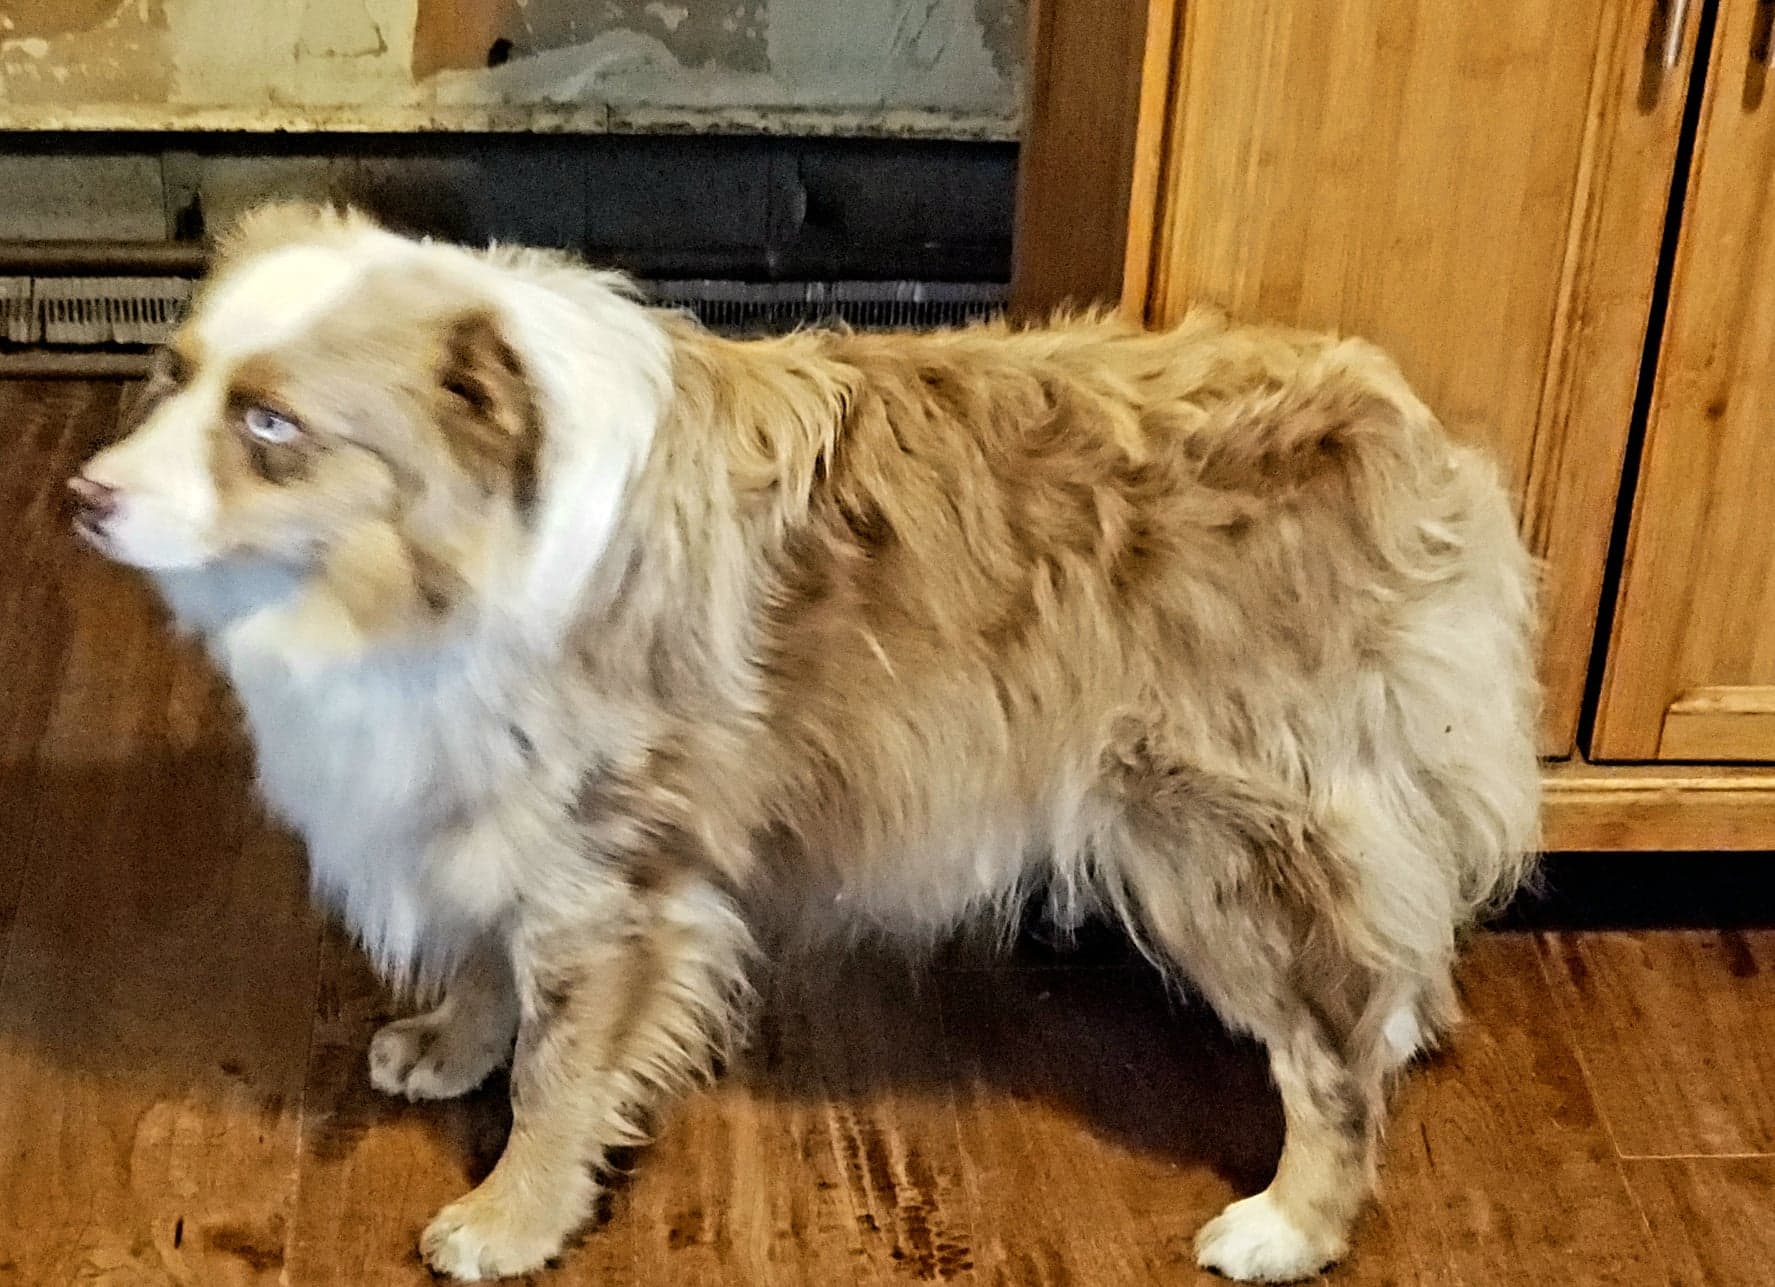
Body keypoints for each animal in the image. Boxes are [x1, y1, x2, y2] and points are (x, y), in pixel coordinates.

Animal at [70, 203, 1539, 1282]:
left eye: (271, 426)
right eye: (172, 375)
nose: (84, 496)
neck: (423, 564)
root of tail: (1396, 427)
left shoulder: (611, 870)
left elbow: (559, 1072)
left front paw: (508, 1218)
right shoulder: (496, 811)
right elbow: (489, 961)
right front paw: (448, 1046)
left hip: (1219, 839)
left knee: (1333, 1044)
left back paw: (1289, 1223)